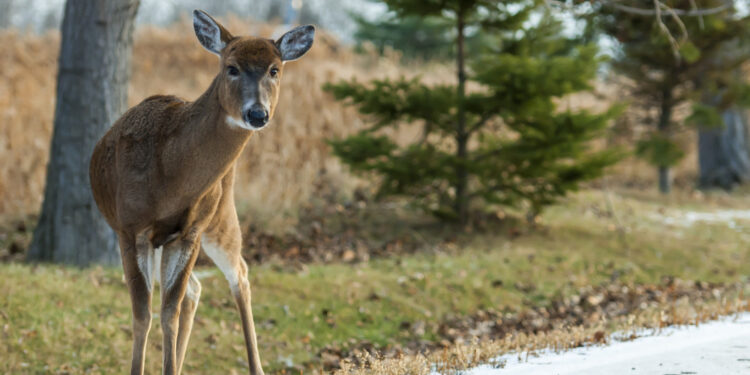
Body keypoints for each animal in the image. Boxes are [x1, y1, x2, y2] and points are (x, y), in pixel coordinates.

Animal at [89, 10, 316, 374]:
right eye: (231, 67)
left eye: (275, 69)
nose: (257, 113)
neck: (170, 176)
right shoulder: (131, 229)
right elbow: (143, 314)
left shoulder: (190, 232)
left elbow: (167, 311)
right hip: (166, 239)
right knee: (196, 289)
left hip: (220, 216)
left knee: (238, 274)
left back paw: (256, 367)